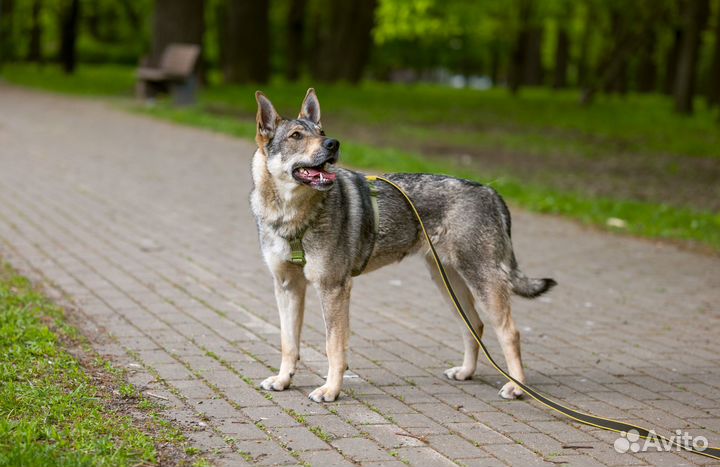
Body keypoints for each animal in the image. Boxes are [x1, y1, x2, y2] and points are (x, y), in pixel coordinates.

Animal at [249, 89, 556, 404]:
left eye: (321, 132)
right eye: (296, 135)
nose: (333, 143)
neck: (291, 216)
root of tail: (492, 191)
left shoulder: (333, 288)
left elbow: (333, 347)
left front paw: (330, 390)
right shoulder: (287, 286)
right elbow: (288, 343)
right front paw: (283, 380)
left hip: (482, 282)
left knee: (510, 332)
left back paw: (516, 387)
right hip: (449, 285)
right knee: (475, 326)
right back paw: (466, 372)